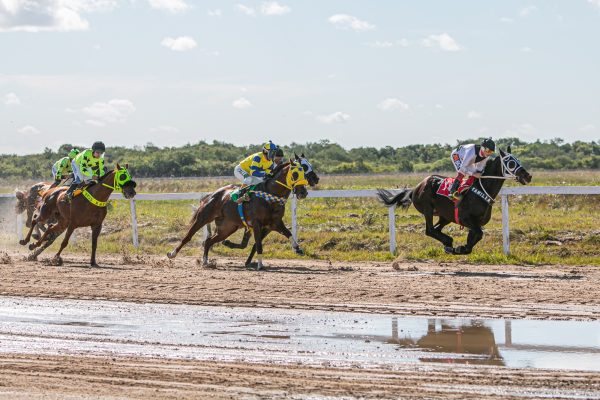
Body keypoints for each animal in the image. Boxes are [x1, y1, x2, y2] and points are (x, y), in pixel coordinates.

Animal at [168, 159, 310, 268]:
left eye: (304, 174)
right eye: (296, 174)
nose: (303, 192)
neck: (270, 196)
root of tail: (212, 195)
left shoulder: (274, 223)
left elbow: (288, 233)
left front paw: (298, 248)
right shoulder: (256, 223)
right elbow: (258, 244)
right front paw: (260, 265)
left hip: (227, 228)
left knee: (208, 241)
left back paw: (205, 261)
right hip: (204, 218)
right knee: (188, 236)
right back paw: (172, 254)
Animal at [378, 148, 532, 256]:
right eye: (511, 162)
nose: (528, 176)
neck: (480, 190)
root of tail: (416, 188)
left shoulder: (474, 223)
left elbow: (475, 238)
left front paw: (461, 248)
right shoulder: (466, 219)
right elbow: (479, 234)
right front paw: (459, 248)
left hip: (445, 216)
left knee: (436, 229)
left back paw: (448, 244)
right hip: (427, 209)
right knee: (429, 230)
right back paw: (448, 242)